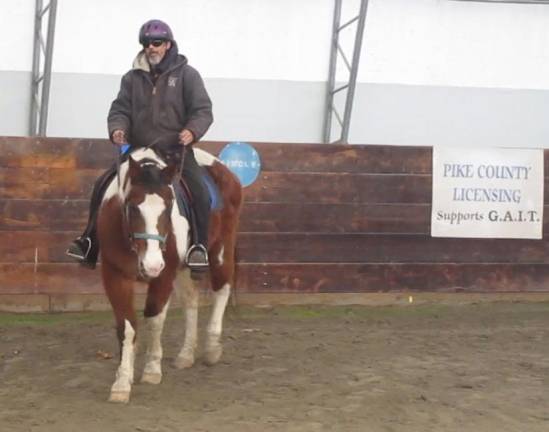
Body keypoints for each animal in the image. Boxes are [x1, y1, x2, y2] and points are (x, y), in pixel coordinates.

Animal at [97, 144, 242, 402]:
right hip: (184, 267)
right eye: (132, 206)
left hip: (221, 249)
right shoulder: (114, 275)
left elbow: (155, 319)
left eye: (168, 207)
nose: (152, 265)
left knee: (222, 289)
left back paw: (212, 347)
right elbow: (126, 326)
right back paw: (186, 354)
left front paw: (152, 369)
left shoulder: (164, 276)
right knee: (191, 301)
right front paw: (122, 382)